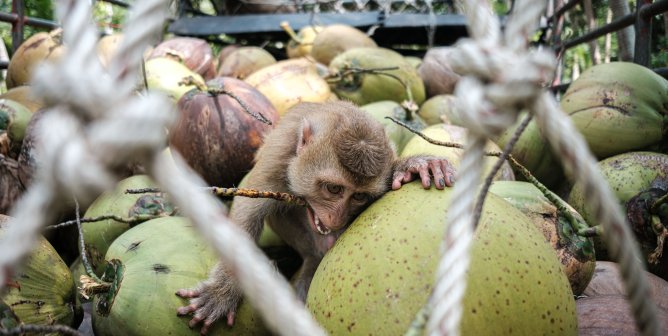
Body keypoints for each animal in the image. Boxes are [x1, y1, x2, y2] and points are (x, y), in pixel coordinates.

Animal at [174, 100, 454, 334]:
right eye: (333, 189)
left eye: (359, 196)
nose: (336, 219)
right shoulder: (279, 156)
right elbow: (248, 211)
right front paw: (221, 293)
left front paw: (412, 166)